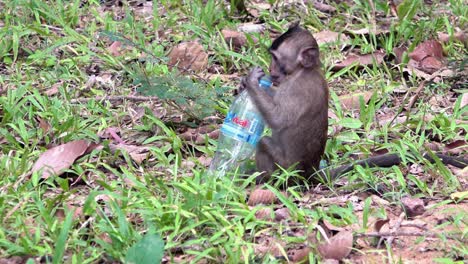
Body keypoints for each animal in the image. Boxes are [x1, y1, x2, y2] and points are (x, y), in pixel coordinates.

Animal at [243, 23, 328, 184]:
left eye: (276, 58)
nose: (270, 69)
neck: (303, 70)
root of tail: (309, 173)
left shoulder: (297, 89)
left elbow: (278, 119)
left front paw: (252, 82)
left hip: (286, 169)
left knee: (263, 142)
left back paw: (264, 181)